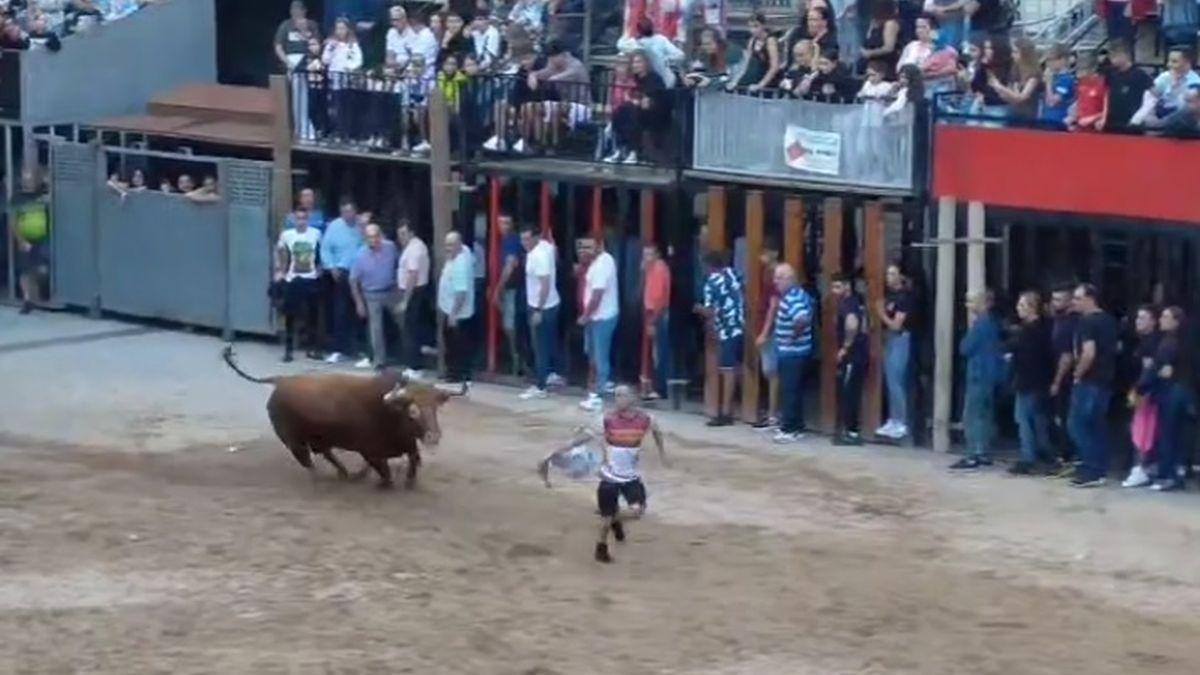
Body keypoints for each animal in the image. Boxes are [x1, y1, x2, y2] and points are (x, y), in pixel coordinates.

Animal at [223, 345, 465, 482]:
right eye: (412, 411)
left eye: (435, 408)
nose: (433, 436)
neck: (389, 413)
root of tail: (281, 381)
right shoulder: (371, 452)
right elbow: (385, 473)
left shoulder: (407, 445)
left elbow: (414, 462)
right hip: (293, 439)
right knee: (307, 459)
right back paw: (324, 477)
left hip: (317, 439)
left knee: (325, 454)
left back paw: (344, 473)